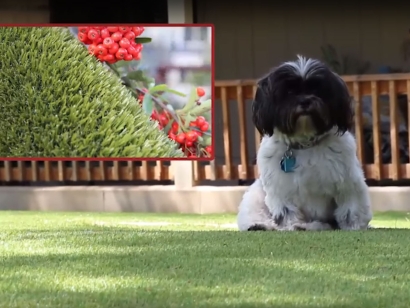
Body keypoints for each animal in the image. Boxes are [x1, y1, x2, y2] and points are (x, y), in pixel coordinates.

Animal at [235, 56, 374, 232]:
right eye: (289, 92)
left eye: (317, 90)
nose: (305, 100)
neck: (305, 143)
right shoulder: (280, 190)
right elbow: (287, 212)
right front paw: (291, 226)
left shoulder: (348, 182)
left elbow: (351, 208)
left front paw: (353, 227)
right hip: (256, 194)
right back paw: (262, 225)